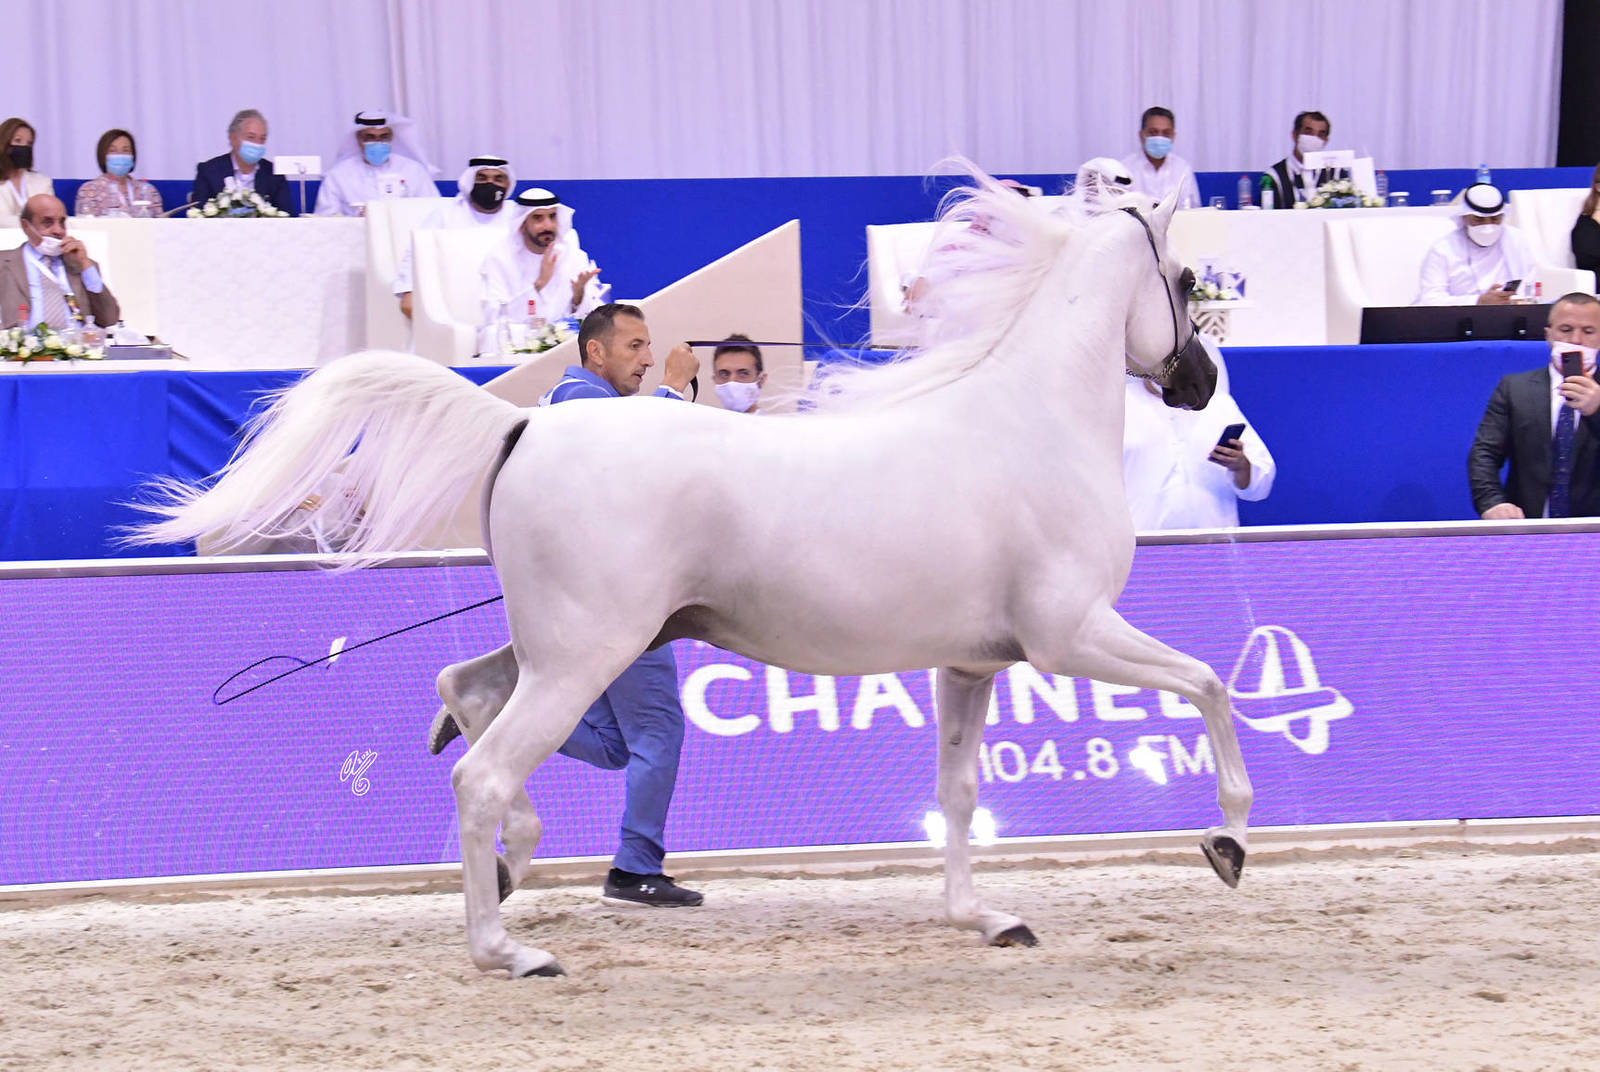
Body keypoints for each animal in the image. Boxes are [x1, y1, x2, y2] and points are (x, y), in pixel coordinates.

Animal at [134, 169, 1252, 978]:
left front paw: (985, 918)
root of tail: (524, 423)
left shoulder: (973, 663)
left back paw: (510, 861)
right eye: (1184, 284)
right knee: (483, 771)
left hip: (575, 645)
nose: (1199, 387)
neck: (1030, 423)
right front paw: (1228, 843)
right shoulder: (1071, 634)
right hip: (587, 652)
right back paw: (508, 949)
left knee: (466, 695)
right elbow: (1209, 683)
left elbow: (961, 790)